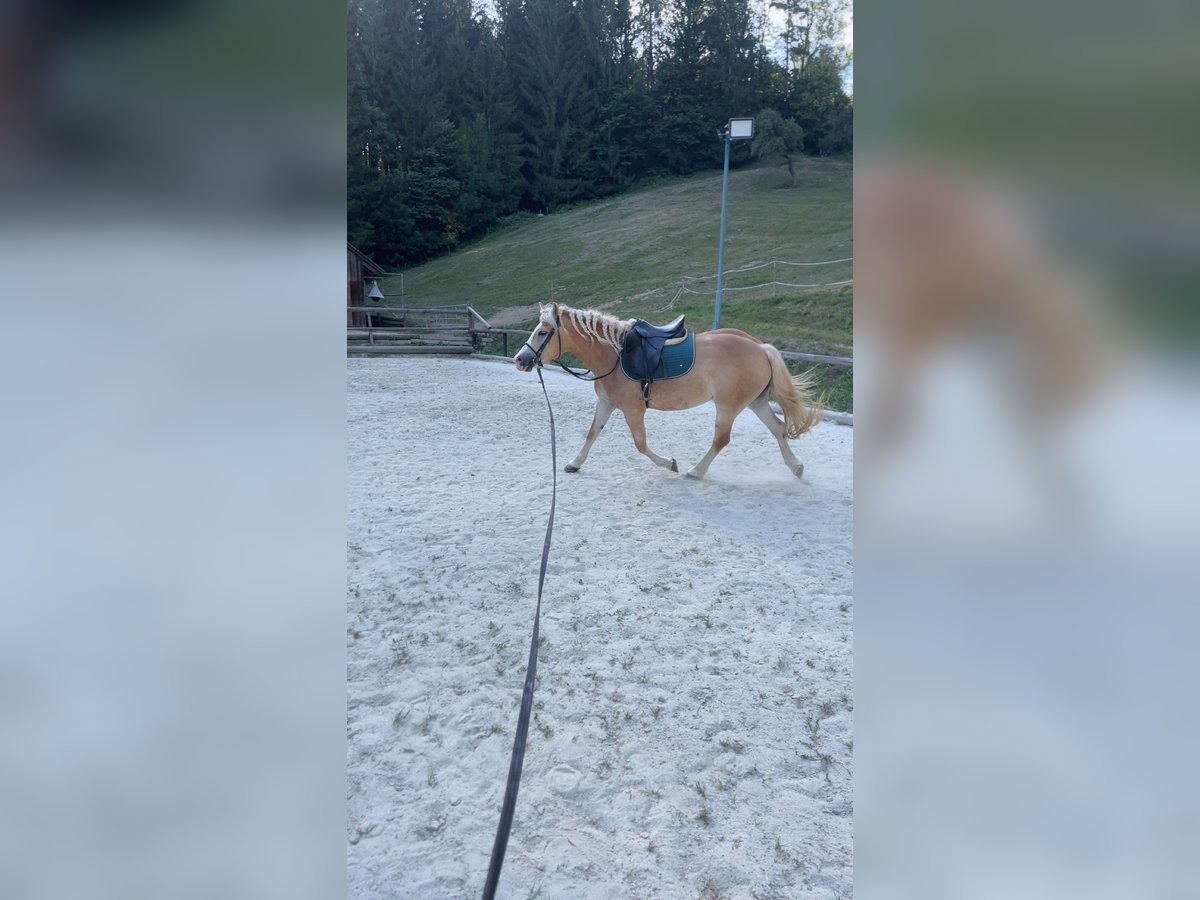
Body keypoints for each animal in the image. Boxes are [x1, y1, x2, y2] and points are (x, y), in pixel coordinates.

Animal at [511, 303, 820, 482]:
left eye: (542, 332)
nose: (520, 360)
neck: (615, 354)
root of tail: (760, 347)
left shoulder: (632, 409)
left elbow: (641, 444)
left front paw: (669, 463)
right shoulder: (607, 404)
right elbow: (592, 433)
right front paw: (575, 463)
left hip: (728, 407)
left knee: (721, 440)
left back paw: (696, 470)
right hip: (755, 401)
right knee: (778, 428)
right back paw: (796, 467)